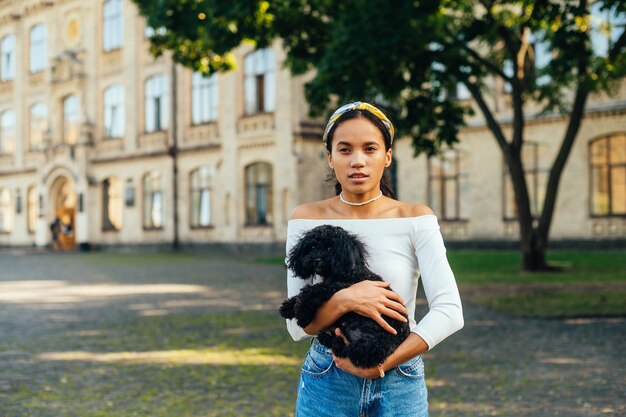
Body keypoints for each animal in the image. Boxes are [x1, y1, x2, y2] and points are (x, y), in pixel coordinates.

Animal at [280, 224, 410, 368]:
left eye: (330, 248)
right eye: (313, 247)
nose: (316, 259)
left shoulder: (341, 286)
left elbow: (314, 290)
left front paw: (302, 312)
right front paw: (288, 307)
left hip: (372, 337)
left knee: (347, 351)